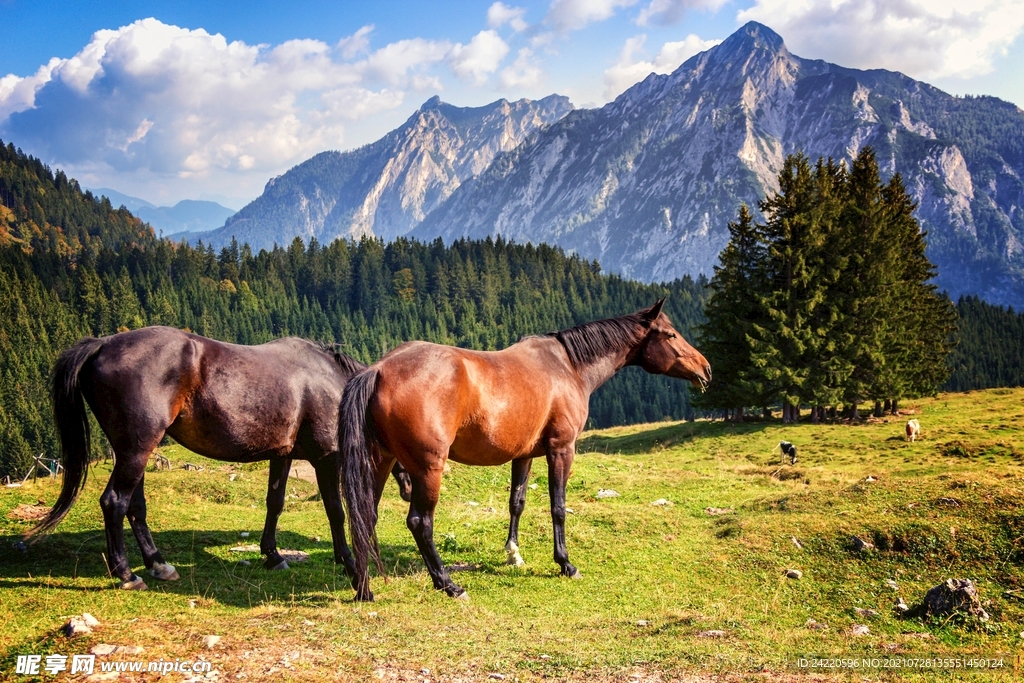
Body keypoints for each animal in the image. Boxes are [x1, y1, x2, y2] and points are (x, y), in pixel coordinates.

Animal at [26, 326, 408, 590]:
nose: (408, 490)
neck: (332, 381)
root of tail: (102, 344)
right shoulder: (326, 458)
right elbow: (335, 512)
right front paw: (348, 563)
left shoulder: (283, 456)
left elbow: (274, 503)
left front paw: (272, 556)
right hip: (135, 451)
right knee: (114, 502)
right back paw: (126, 574)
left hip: (134, 451)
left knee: (135, 507)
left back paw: (158, 564)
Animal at [340, 299, 712, 601]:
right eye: (671, 335)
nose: (706, 368)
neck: (568, 366)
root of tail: (379, 369)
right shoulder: (562, 449)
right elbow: (558, 506)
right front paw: (565, 563)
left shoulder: (524, 455)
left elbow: (516, 502)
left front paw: (513, 554)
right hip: (427, 469)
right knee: (420, 522)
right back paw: (448, 584)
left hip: (380, 461)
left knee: (366, 515)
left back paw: (364, 588)